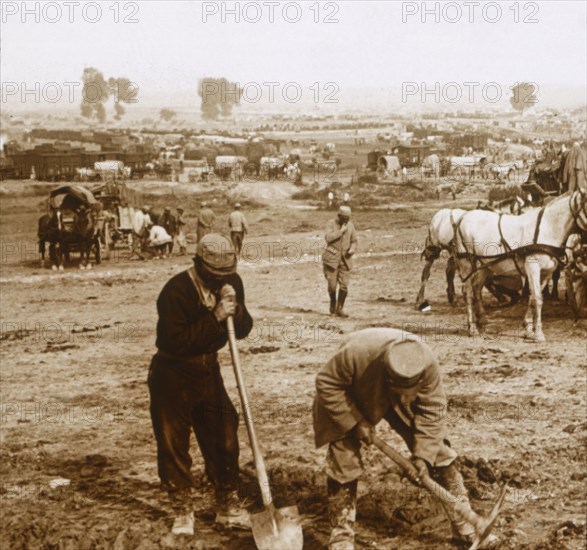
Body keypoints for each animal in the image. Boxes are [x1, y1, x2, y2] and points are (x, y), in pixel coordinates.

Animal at [452, 192, 584, 342]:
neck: (547, 229)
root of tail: (463, 217)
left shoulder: (547, 272)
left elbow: (533, 297)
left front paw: (528, 328)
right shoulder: (532, 267)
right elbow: (538, 299)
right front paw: (538, 333)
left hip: (484, 265)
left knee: (476, 288)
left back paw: (484, 321)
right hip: (466, 264)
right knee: (467, 292)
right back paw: (473, 328)